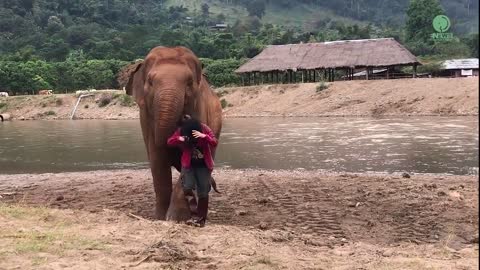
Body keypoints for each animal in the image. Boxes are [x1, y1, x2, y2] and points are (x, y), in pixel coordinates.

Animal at [125, 46, 223, 219]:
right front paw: (160, 218)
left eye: (189, 83)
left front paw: (175, 218)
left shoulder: (198, 107)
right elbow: (157, 161)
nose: (184, 118)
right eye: (150, 82)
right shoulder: (146, 118)